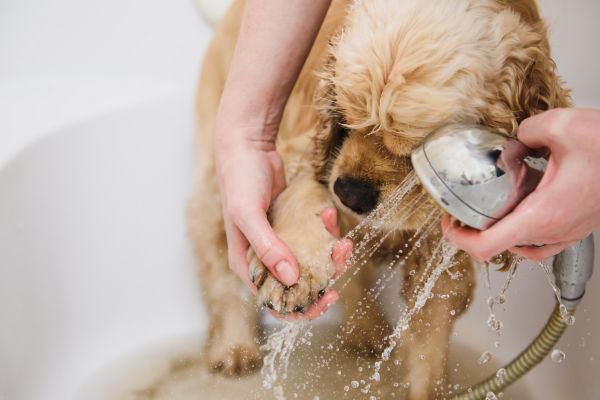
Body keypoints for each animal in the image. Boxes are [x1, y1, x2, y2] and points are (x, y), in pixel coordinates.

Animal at [189, 1, 572, 398]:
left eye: (416, 150)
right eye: (344, 115)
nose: (349, 193)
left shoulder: (443, 248)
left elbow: (429, 338)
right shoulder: (304, 150)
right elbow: (302, 192)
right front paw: (291, 274)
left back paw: (367, 332)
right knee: (219, 262)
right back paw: (234, 347)